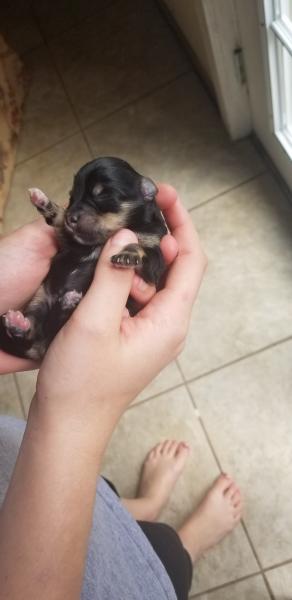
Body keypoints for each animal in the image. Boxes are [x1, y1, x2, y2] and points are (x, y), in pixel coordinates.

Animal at [0, 157, 167, 358]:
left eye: (102, 195)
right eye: (72, 197)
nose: (71, 217)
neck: (101, 241)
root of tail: (40, 350)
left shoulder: (154, 263)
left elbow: (141, 249)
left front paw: (126, 256)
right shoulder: (69, 243)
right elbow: (58, 218)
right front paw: (41, 199)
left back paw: (66, 304)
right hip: (40, 297)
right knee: (34, 330)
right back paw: (20, 322)